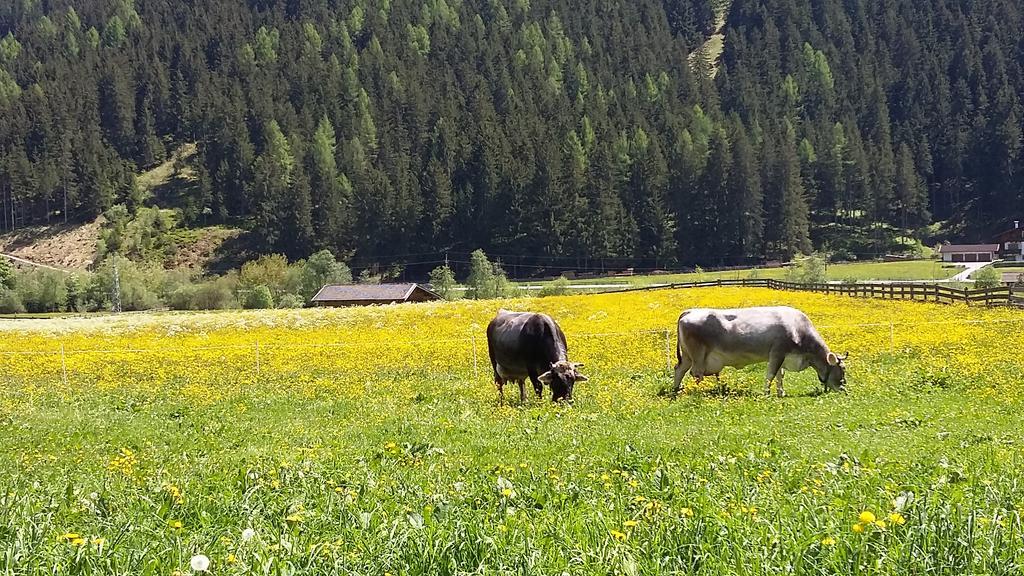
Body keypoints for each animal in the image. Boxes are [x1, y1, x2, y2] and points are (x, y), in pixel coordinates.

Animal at [671, 305, 847, 393]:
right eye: (842, 369)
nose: (844, 388)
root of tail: (690, 311)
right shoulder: (777, 352)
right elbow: (771, 375)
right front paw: (766, 394)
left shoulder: (782, 356)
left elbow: (780, 376)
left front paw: (781, 393)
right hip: (698, 356)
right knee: (696, 374)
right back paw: (696, 391)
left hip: (687, 356)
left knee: (679, 370)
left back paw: (676, 390)